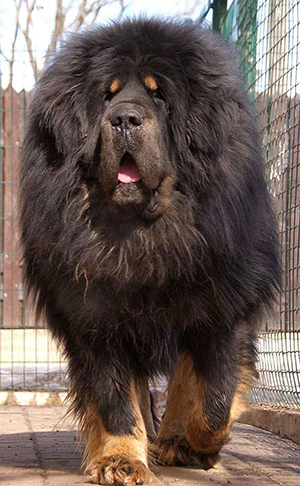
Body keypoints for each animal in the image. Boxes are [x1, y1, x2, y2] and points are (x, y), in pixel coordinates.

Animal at [19, 19, 280, 486]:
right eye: (107, 95)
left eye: (160, 95)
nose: (124, 118)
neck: (146, 236)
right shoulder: (96, 318)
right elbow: (116, 399)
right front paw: (122, 458)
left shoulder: (223, 309)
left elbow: (214, 399)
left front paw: (198, 445)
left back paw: (177, 440)